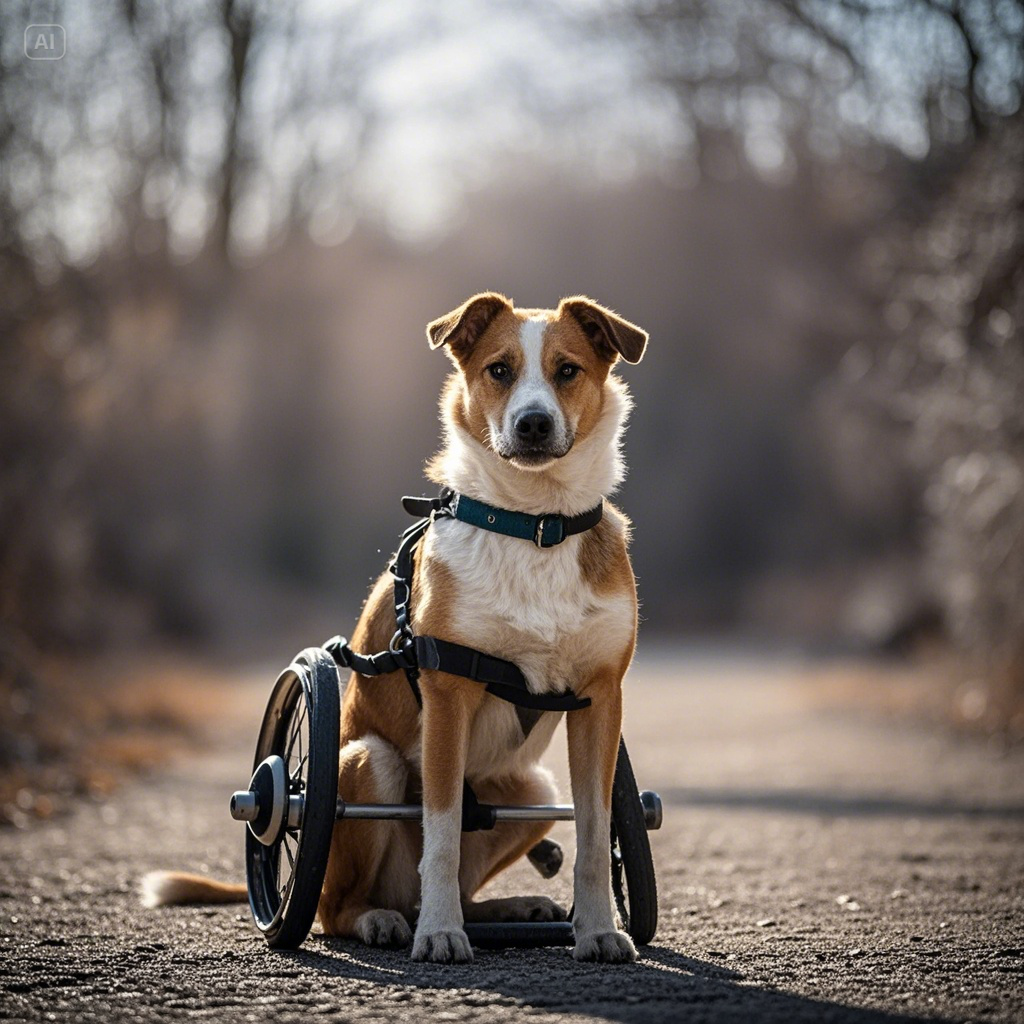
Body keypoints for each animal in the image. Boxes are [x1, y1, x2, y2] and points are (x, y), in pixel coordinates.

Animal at [142, 292, 647, 962]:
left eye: (568, 370)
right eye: (499, 370)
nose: (533, 424)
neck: (534, 524)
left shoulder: (599, 698)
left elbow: (594, 830)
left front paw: (597, 930)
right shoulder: (448, 696)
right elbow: (442, 832)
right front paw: (439, 933)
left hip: (535, 791)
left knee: (470, 870)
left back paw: (504, 908)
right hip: (364, 767)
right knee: (339, 904)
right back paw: (385, 919)